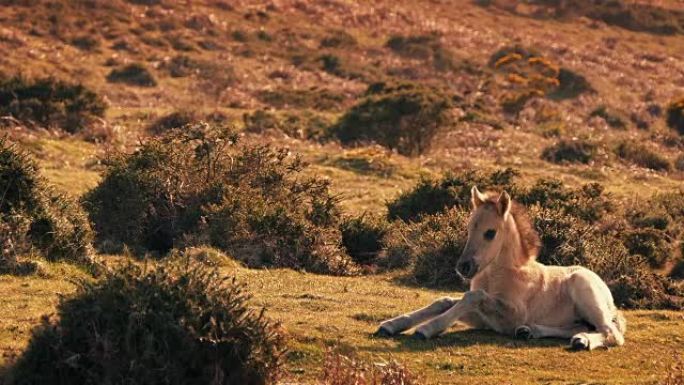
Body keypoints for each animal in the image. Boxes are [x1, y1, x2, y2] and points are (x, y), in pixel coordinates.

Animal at [376, 188, 628, 350]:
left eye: (490, 233)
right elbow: (445, 301)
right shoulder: (484, 319)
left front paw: (427, 328)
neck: (498, 275)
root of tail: (610, 298)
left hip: (585, 290)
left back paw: (582, 341)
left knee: (611, 333)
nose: (463, 267)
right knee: (581, 326)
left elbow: (473, 296)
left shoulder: (511, 314)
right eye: (468, 228)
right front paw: (391, 325)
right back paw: (532, 332)